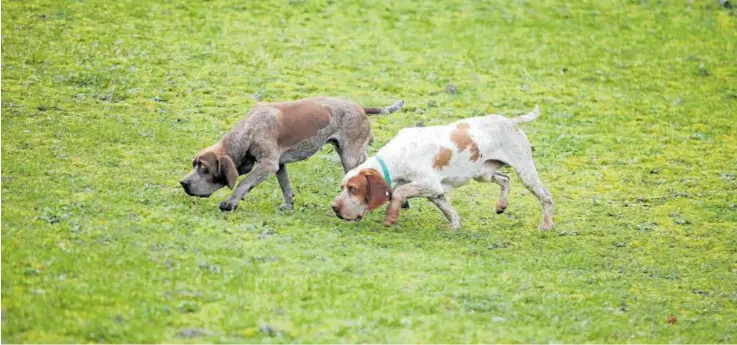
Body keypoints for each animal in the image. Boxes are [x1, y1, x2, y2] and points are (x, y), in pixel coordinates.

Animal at [182, 95, 406, 211]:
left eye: (204, 168)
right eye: (194, 164)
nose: (183, 183)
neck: (249, 129)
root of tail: (360, 107)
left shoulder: (268, 164)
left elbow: (243, 184)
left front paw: (230, 203)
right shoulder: (279, 166)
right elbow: (286, 187)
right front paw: (288, 205)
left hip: (348, 158)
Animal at [330, 104, 552, 228]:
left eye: (353, 189)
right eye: (342, 187)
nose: (334, 207)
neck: (397, 157)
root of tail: (511, 121)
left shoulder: (429, 184)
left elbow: (399, 192)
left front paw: (391, 216)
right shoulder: (435, 193)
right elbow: (449, 211)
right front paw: (454, 228)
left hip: (526, 172)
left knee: (546, 198)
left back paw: (547, 225)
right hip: (483, 173)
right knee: (505, 178)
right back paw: (501, 205)